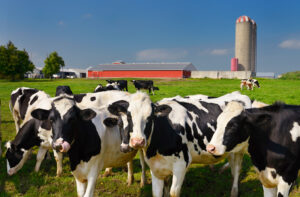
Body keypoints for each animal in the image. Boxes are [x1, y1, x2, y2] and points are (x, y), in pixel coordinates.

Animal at [106, 91, 252, 197]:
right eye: (129, 116)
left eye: (150, 117)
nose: (137, 141)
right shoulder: (155, 167)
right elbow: (157, 192)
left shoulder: (181, 165)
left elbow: (173, 193)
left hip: (241, 148)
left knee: (237, 169)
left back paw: (234, 191)